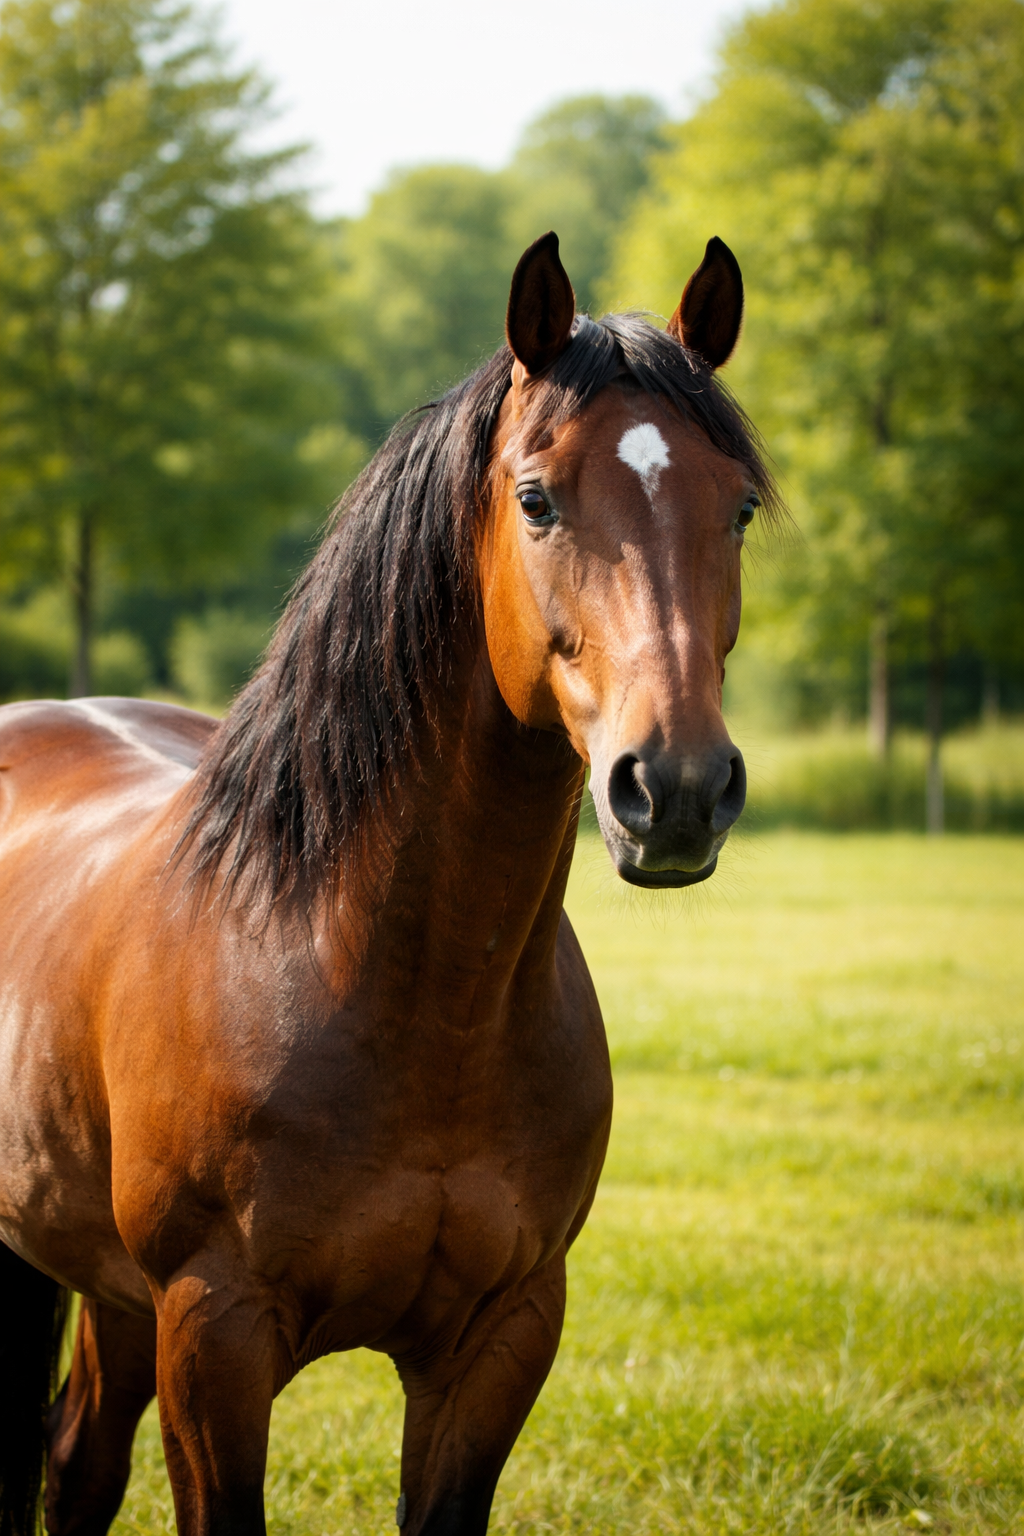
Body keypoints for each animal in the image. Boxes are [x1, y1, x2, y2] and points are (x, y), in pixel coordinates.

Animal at [0, 231, 775, 1536]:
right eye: (536, 497)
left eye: (741, 508)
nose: (671, 787)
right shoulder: (214, 1338)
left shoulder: (500, 1339)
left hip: (99, 1283)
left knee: (73, 1457)